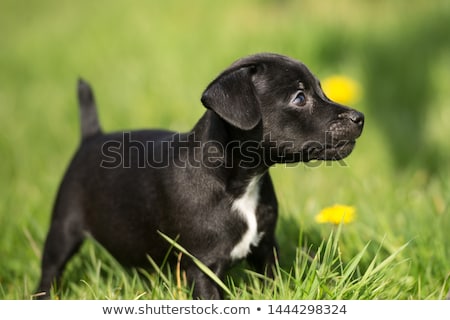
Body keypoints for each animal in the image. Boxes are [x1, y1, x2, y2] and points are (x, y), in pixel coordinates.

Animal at [37, 53, 364, 300]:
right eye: (299, 98)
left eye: (321, 90)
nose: (359, 117)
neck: (241, 185)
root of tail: (92, 137)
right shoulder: (203, 268)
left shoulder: (265, 249)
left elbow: (273, 285)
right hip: (63, 227)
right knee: (49, 271)